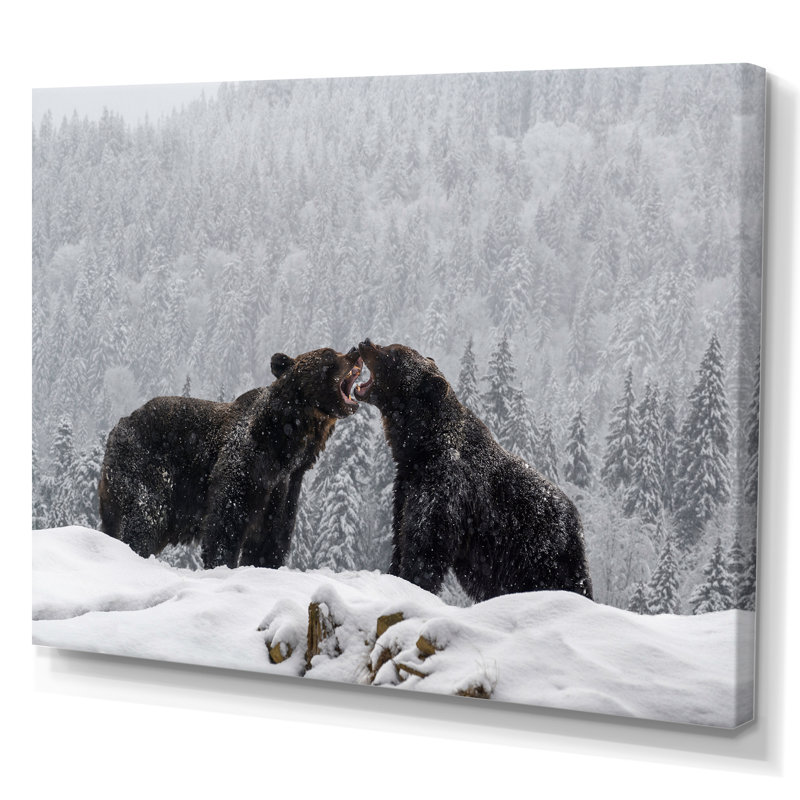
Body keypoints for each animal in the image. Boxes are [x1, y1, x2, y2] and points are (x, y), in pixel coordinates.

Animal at [99, 347, 363, 569]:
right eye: (329, 354)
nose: (355, 351)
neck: (285, 445)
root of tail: (118, 426)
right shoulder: (246, 463)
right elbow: (226, 521)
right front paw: (222, 563)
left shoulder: (287, 486)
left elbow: (272, 538)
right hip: (147, 465)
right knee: (146, 515)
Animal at [354, 339, 593, 602]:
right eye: (391, 346)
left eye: (393, 353)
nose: (365, 343)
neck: (422, 446)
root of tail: (577, 524)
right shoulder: (407, 485)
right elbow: (401, 535)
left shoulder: (445, 487)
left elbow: (425, 545)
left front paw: (413, 584)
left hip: (539, 553)